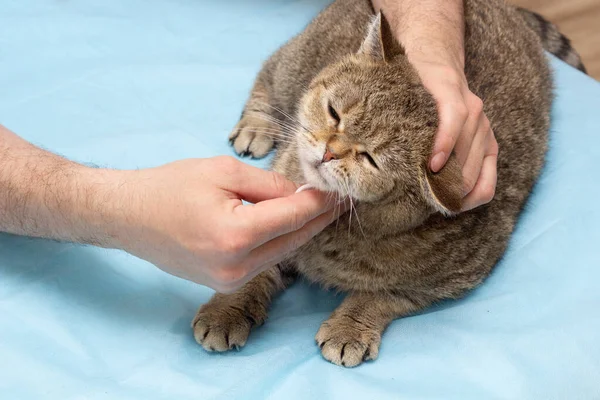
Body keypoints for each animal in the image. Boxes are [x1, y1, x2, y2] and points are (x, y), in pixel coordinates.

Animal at [192, 0, 584, 368]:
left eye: (370, 158)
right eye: (334, 112)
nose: (330, 152)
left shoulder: (457, 276)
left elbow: (386, 295)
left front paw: (350, 326)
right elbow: (254, 270)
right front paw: (227, 309)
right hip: (294, 63)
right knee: (268, 76)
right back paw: (256, 125)